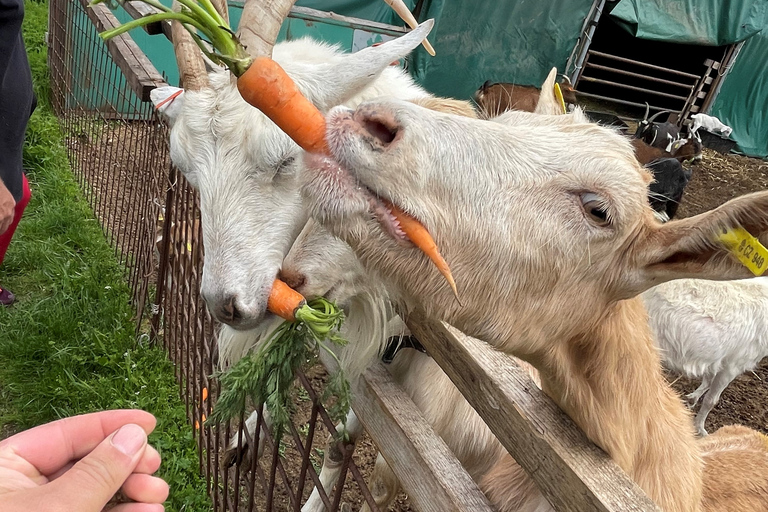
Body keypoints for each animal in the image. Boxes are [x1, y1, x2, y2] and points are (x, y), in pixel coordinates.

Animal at [640, 276, 768, 436]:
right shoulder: (734, 364)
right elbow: (711, 400)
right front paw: (700, 429)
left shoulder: (717, 358)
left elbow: (708, 379)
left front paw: (692, 399)